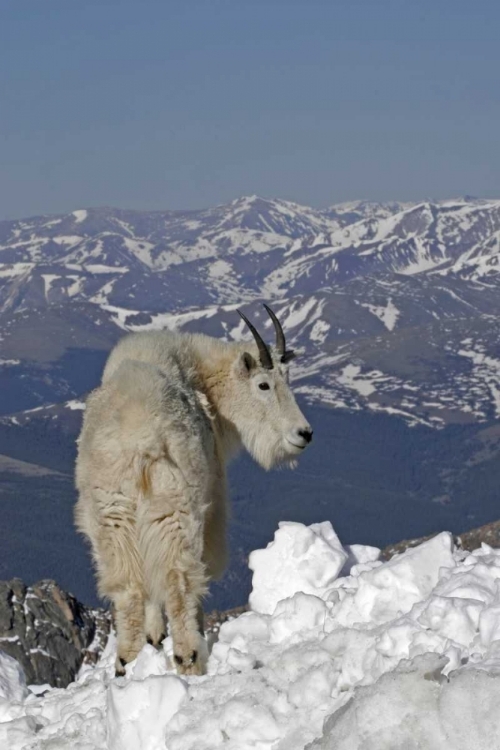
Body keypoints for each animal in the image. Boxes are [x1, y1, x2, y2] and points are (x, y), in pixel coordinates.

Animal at [74, 306, 310, 676]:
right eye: (263, 384)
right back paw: (189, 657)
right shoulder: (212, 493)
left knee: (127, 585)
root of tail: (141, 440)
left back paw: (127, 661)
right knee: (180, 577)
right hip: (176, 502)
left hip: (111, 512)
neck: (199, 375)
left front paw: (154, 635)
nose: (304, 433)